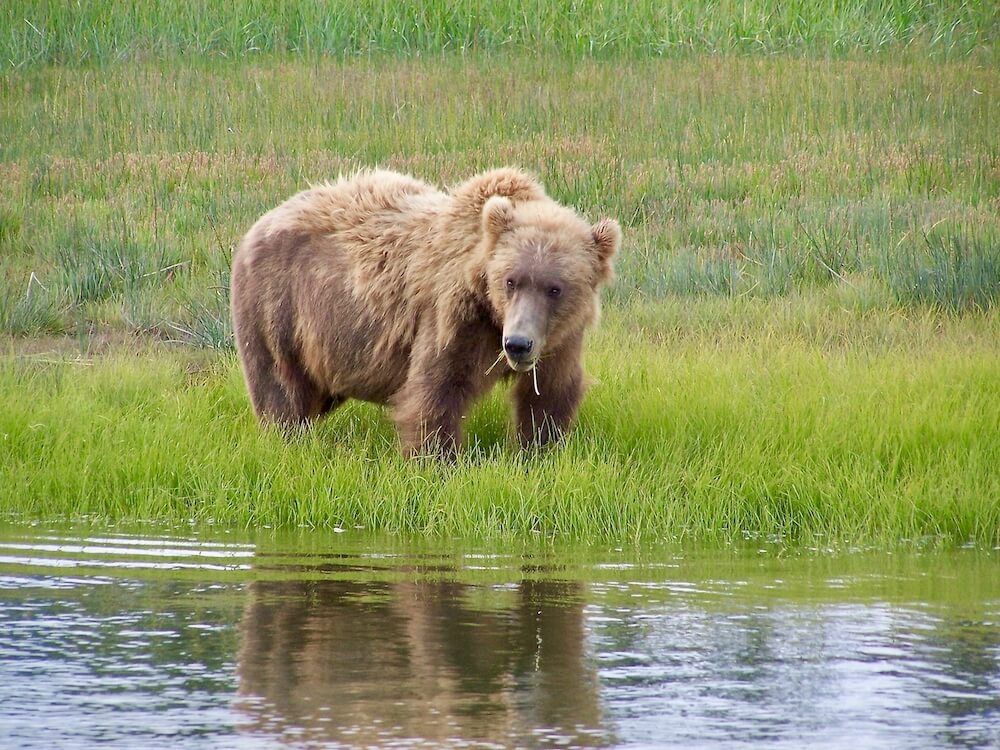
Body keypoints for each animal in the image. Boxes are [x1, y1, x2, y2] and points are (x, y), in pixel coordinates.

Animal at [231, 169, 620, 458]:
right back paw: (285, 438)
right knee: (280, 389)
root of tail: (260, 221)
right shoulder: (454, 318)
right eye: (510, 281)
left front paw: (538, 452)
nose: (518, 344)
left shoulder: (561, 337)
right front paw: (437, 460)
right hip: (278, 306)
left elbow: (549, 393)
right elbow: (436, 390)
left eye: (555, 288)